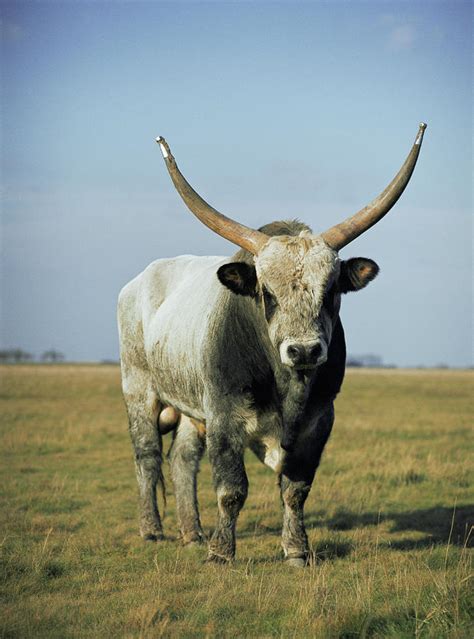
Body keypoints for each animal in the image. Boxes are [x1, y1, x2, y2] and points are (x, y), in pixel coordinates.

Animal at [117, 124, 426, 564]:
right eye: (267, 293)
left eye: (332, 290)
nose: (304, 351)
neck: (287, 390)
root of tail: (142, 278)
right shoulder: (224, 417)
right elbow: (232, 489)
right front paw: (221, 554)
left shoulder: (319, 422)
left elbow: (296, 490)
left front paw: (296, 551)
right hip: (139, 388)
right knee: (147, 455)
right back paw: (152, 530)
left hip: (193, 405)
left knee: (182, 461)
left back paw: (192, 532)